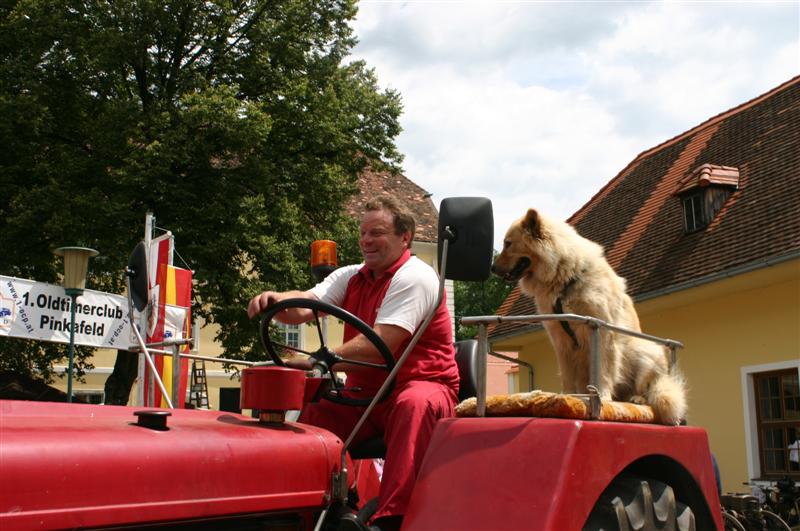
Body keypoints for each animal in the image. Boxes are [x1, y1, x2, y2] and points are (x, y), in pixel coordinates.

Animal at [490, 210, 684, 426]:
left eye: (508, 243)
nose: (492, 268)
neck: (566, 278)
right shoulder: (562, 340)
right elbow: (567, 375)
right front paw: (566, 396)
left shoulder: (601, 333)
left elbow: (603, 371)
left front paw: (604, 397)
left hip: (645, 352)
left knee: (648, 388)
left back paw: (637, 398)